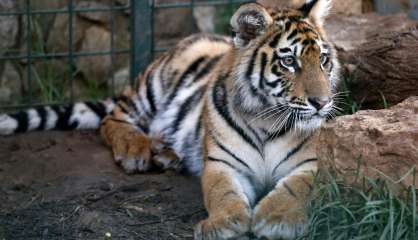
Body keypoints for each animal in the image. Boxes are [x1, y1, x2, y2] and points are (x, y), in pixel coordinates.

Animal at [0, 0, 340, 238]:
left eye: (323, 60)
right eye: (289, 62)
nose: (322, 103)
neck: (267, 120)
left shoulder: (309, 164)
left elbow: (294, 190)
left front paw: (277, 220)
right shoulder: (222, 164)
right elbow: (223, 193)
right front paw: (223, 224)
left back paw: (167, 154)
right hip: (151, 87)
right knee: (112, 119)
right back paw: (135, 151)